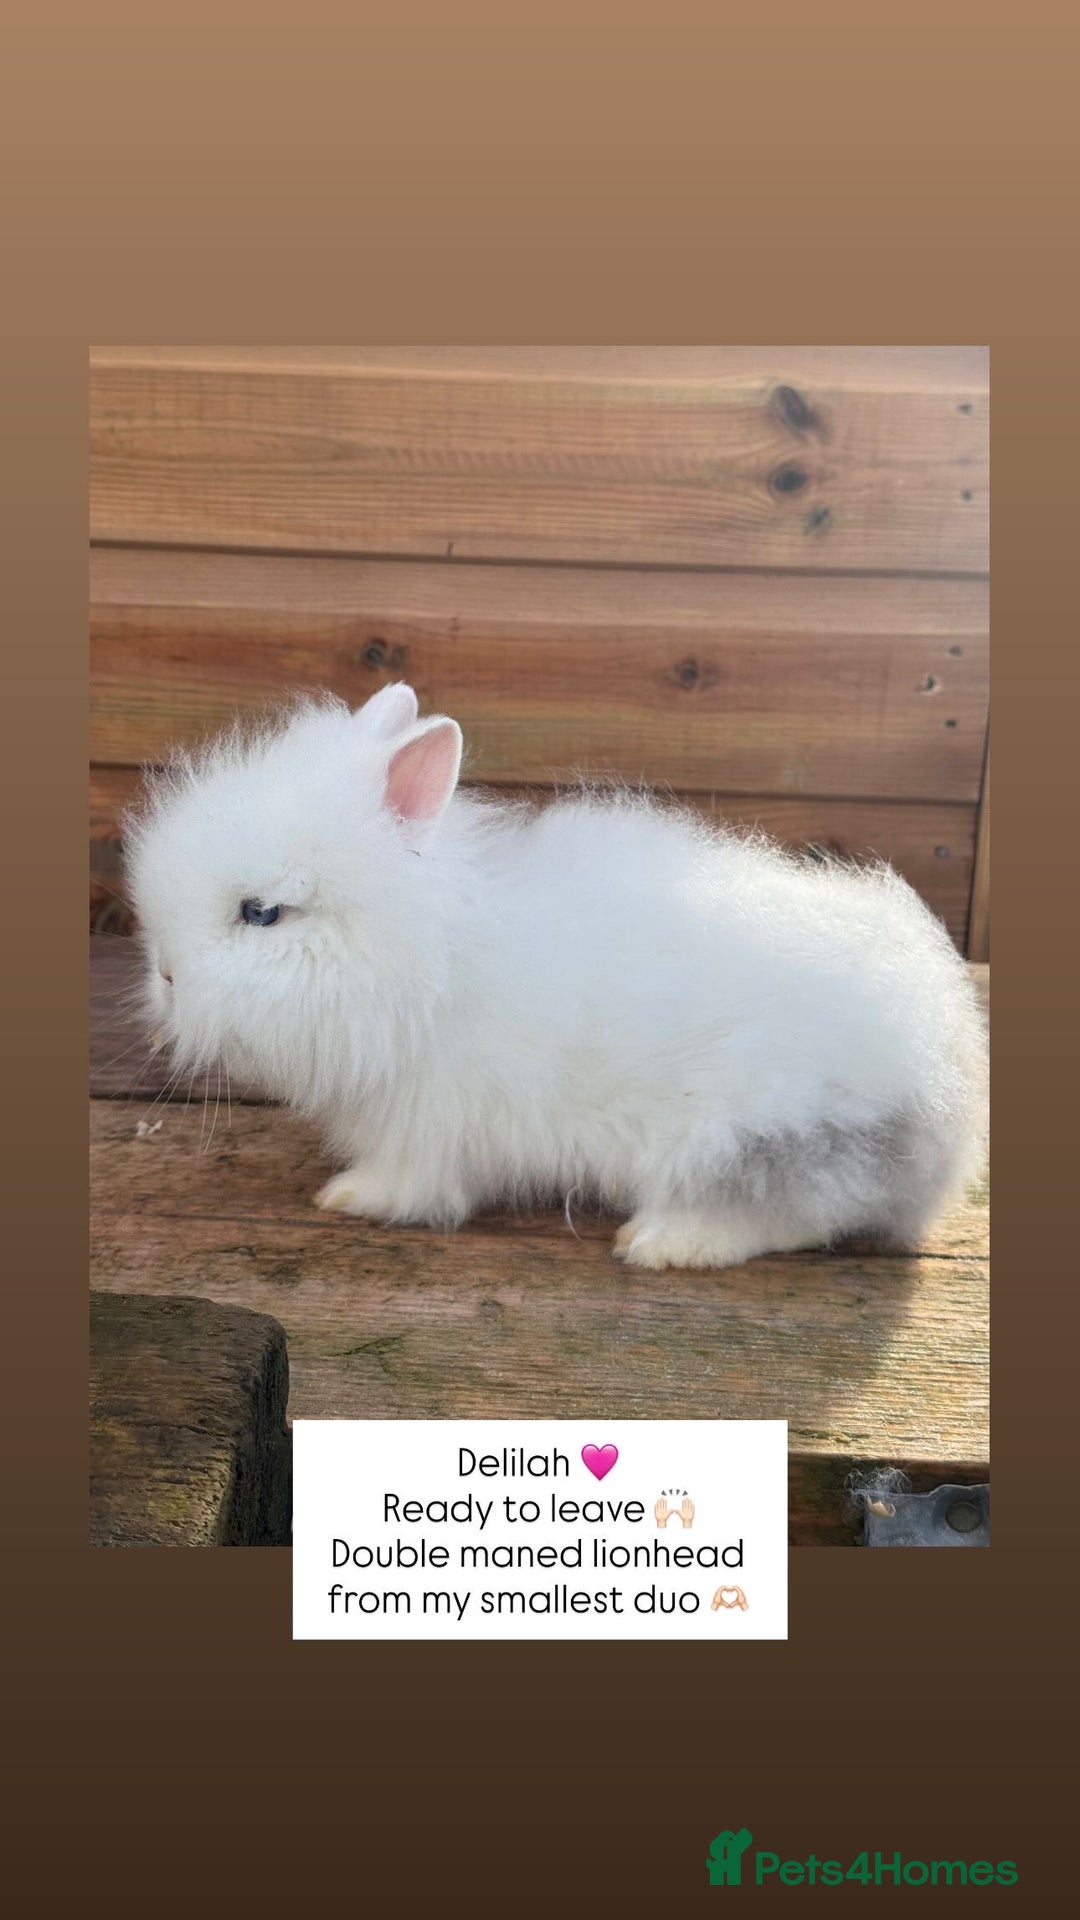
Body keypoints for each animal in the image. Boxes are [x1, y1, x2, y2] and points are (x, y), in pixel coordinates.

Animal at [125, 683, 987, 1271]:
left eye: (261, 912)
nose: (165, 974)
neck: (428, 956)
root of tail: (944, 1084)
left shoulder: (429, 1124)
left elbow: (413, 1185)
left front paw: (349, 1197)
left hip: (754, 1134)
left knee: (785, 1211)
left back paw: (661, 1241)